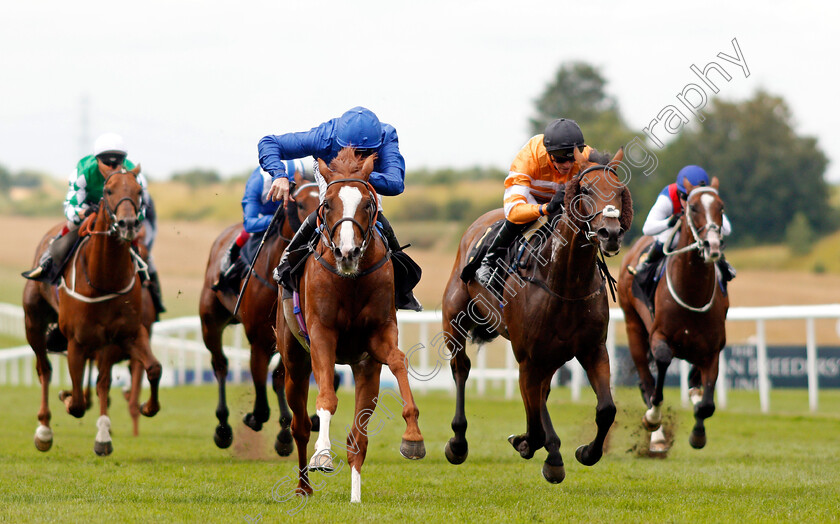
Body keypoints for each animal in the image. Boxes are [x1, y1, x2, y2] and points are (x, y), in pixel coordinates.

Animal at [22, 166, 162, 456]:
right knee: (44, 369)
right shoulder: (77, 341)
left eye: (138, 191)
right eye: (108, 190)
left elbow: (151, 369)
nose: (128, 224)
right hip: (33, 323)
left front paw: (145, 407)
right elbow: (76, 403)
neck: (104, 278)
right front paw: (66, 398)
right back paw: (44, 430)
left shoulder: (128, 335)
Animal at [200, 169, 322, 454]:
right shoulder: (259, 341)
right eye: (300, 204)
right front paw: (255, 417)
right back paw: (223, 428)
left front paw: (288, 431)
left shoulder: (292, 338)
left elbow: (279, 378)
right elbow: (260, 391)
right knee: (220, 365)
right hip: (210, 322)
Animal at [278, 148, 424, 504]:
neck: (351, 280)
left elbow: (399, 361)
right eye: (328, 203)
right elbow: (327, 399)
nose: (348, 252)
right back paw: (303, 486)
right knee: (301, 426)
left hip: (365, 370)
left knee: (359, 438)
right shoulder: (321, 336)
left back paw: (355, 496)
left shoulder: (378, 340)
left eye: (368, 204)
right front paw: (322, 455)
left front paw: (413, 435)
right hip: (295, 363)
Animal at [440, 147, 632, 484]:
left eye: (620, 191)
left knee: (543, 392)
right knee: (461, 368)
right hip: (455, 320)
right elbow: (536, 421)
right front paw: (533, 445)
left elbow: (606, 409)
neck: (565, 283)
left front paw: (585, 452)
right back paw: (458, 442)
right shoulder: (528, 357)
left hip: (551, 354)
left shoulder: (593, 349)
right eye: (585, 189)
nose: (609, 233)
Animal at [616, 178, 728, 452]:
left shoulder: (712, 349)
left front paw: (698, 433)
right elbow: (661, 369)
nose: (712, 245)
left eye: (720, 207)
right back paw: (656, 437)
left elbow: (707, 404)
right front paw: (653, 419)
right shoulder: (659, 336)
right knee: (646, 381)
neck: (691, 293)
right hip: (633, 327)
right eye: (693, 208)